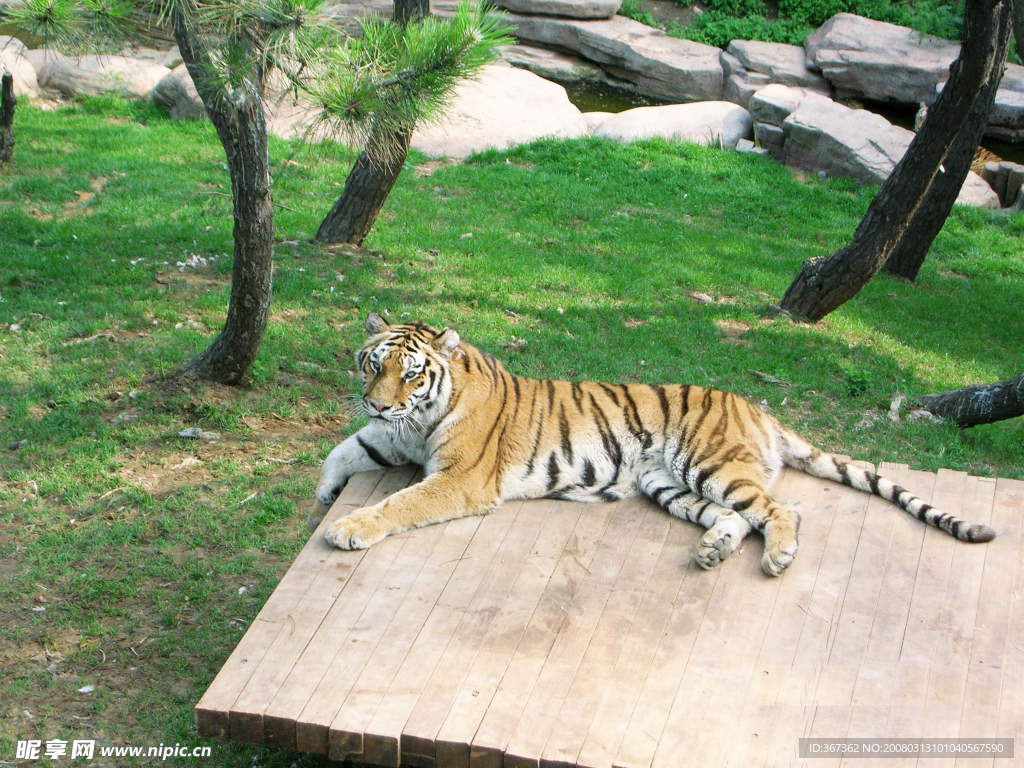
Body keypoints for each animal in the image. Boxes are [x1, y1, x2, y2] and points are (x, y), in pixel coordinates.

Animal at [309, 313, 991, 577]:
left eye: (411, 374)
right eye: (372, 365)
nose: (378, 401)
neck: (418, 419)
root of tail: (759, 409)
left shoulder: (459, 478)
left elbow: (401, 503)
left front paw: (347, 528)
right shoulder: (388, 440)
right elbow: (341, 451)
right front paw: (322, 497)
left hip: (710, 464)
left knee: (781, 511)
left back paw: (778, 558)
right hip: (670, 483)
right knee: (734, 519)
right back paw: (714, 551)